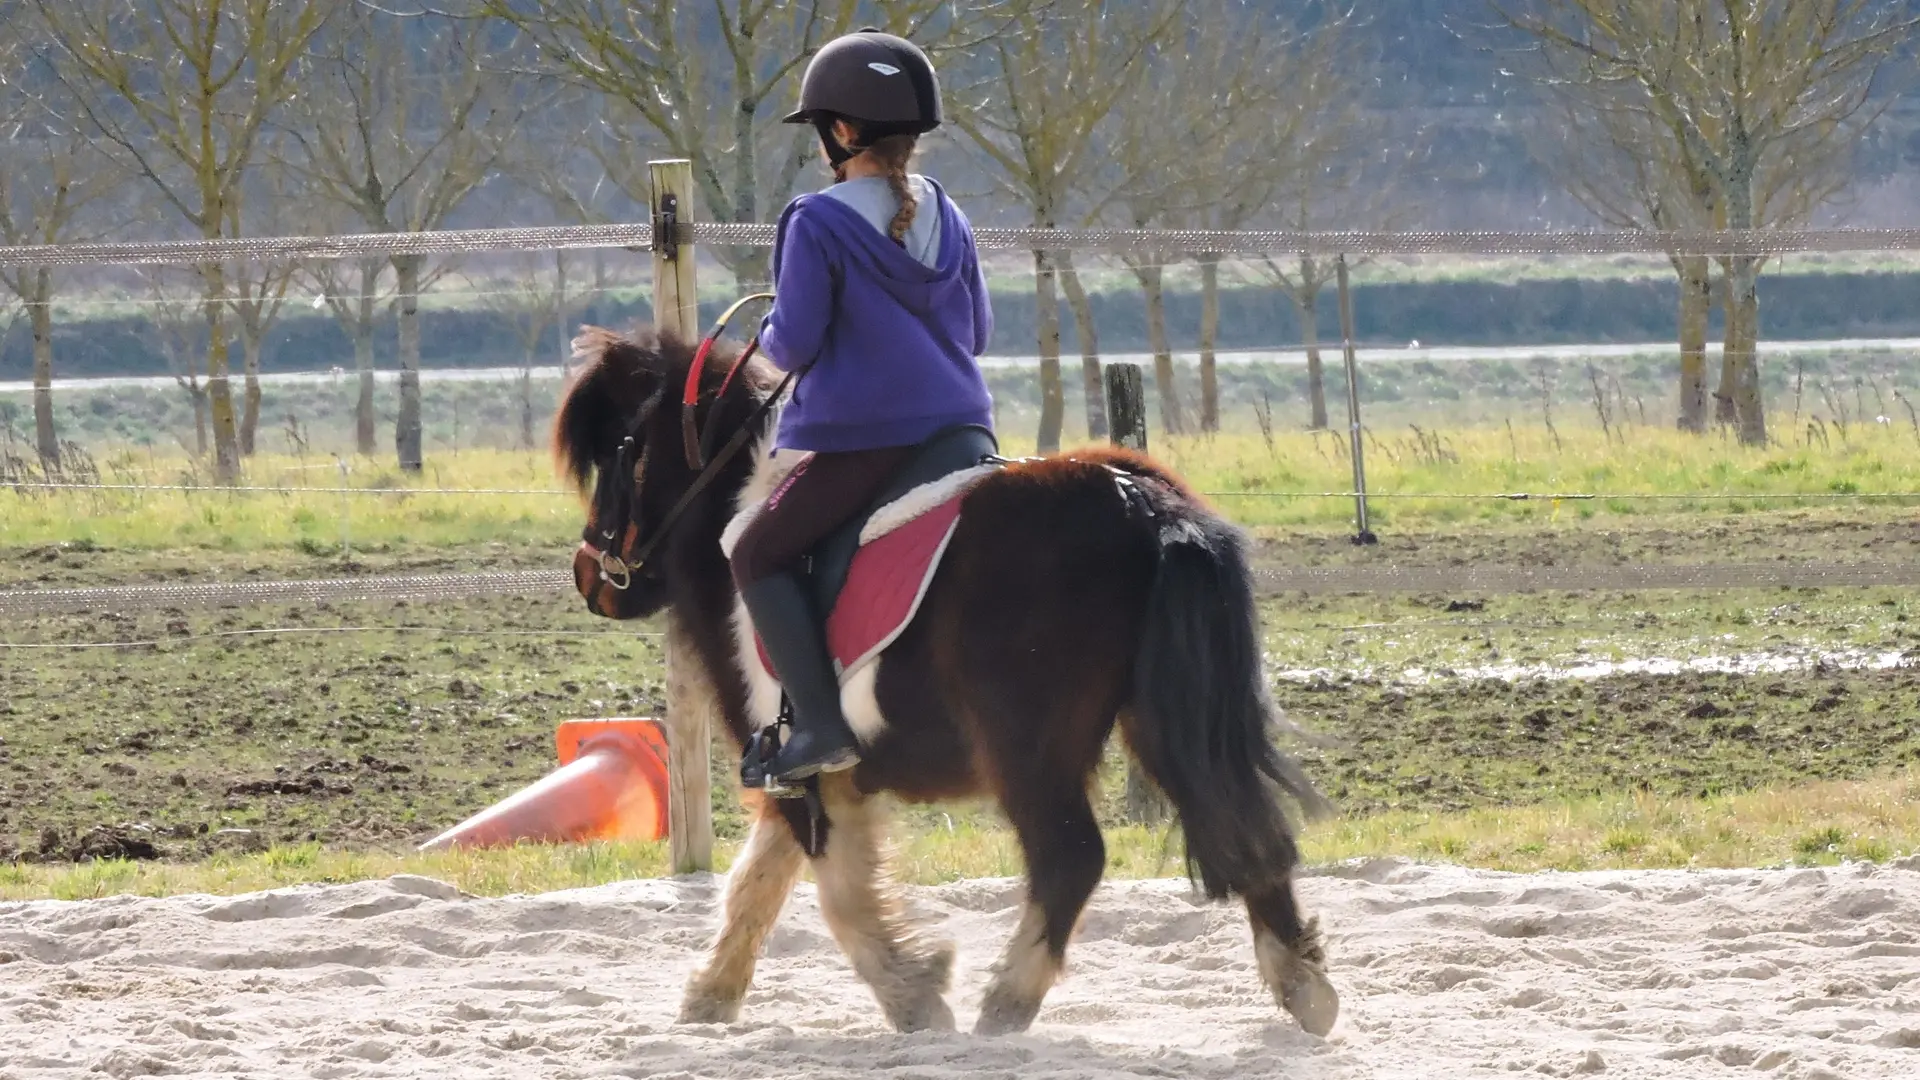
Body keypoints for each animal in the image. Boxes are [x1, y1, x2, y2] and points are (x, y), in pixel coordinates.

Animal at [556, 320, 1336, 1037]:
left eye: (619, 449)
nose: (589, 575)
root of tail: (1140, 500)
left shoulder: (802, 765)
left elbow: (839, 897)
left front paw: (917, 997)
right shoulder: (806, 774)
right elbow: (758, 883)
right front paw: (710, 998)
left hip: (1026, 743)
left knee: (1071, 857)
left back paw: (1005, 1007)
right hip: (1161, 720)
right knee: (1243, 826)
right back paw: (1305, 988)